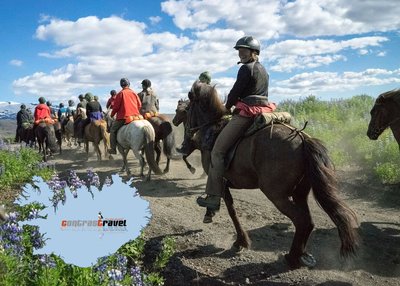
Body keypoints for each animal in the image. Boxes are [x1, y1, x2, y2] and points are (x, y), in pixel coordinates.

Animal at [188, 80, 360, 268]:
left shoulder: (220, 180)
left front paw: (239, 240)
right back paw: (301, 255)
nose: (189, 135)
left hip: (276, 194)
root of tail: (303, 139)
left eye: (187, 106)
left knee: (302, 221)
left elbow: (231, 210)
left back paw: (292, 258)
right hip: (300, 193)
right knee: (308, 222)